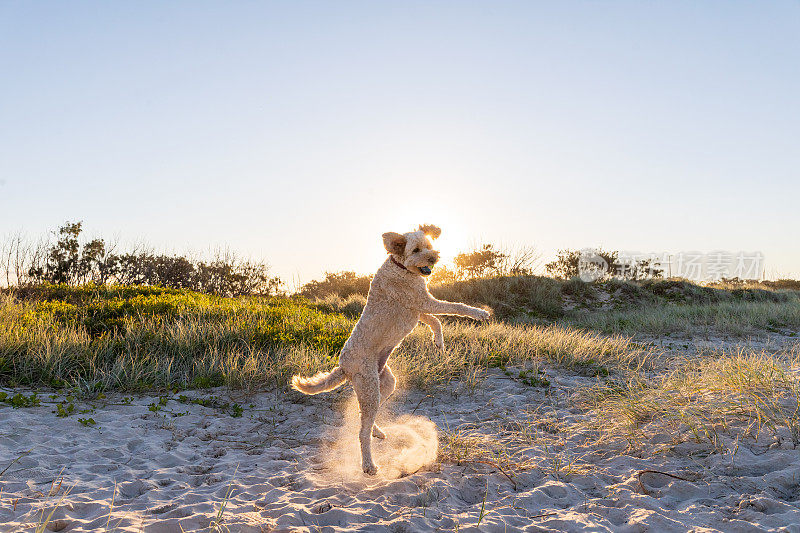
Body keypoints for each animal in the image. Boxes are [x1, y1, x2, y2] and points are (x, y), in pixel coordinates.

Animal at [290, 222, 490, 472]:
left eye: (429, 245)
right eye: (416, 250)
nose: (434, 257)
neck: (400, 267)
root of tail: (343, 367)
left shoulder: (417, 309)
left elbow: (435, 321)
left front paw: (438, 341)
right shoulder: (422, 302)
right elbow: (456, 307)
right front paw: (479, 313)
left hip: (384, 384)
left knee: (365, 417)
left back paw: (377, 431)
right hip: (369, 387)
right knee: (362, 432)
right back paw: (368, 465)